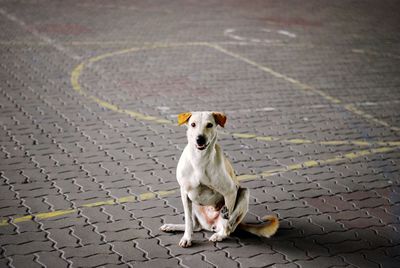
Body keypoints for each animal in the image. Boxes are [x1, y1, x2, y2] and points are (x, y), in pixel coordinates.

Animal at [159, 111, 278, 247]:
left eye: (209, 125)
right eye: (193, 124)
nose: (200, 139)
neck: (200, 159)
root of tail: (211, 225)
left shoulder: (230, 191)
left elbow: (227, 217)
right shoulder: (185, 193)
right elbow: (188, 221)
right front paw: (187, 238)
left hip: (244, 193)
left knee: (229, 226)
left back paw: (220, 234)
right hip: (194, 205)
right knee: (196, 226)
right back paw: (171, 226)